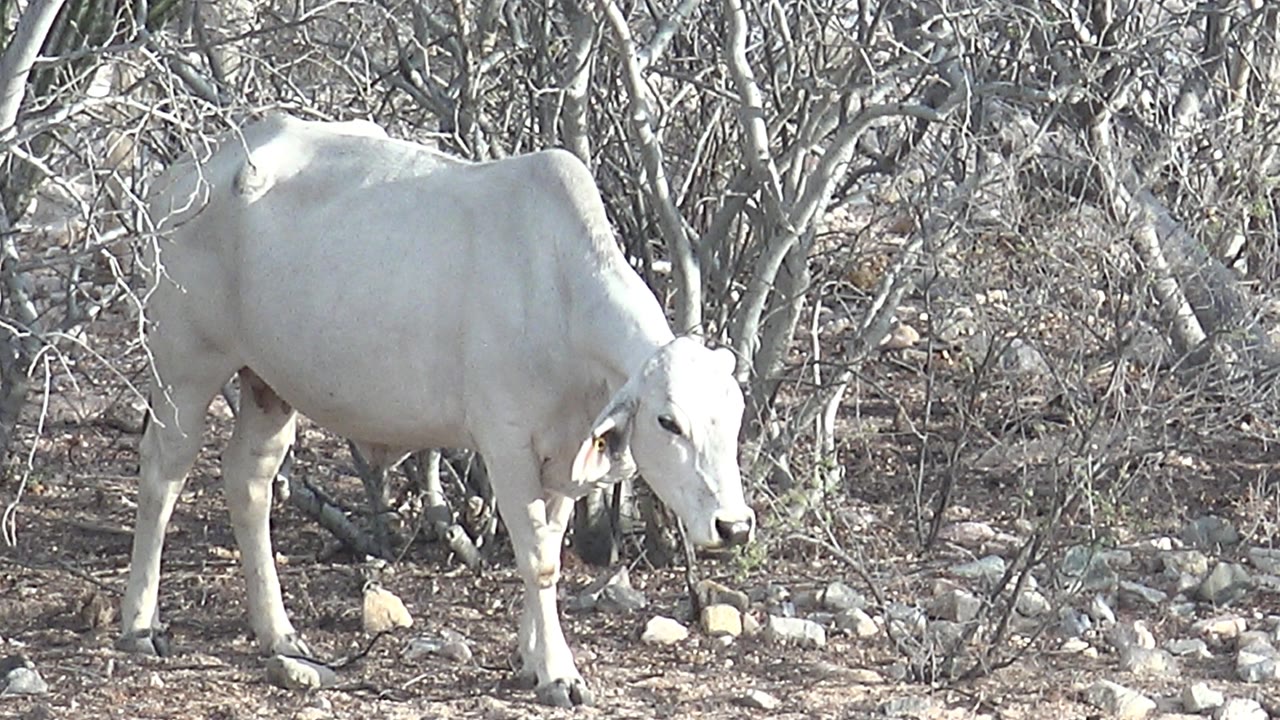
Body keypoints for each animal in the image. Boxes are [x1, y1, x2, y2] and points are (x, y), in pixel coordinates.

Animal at [117, 115, 756, 707]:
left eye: (734, 421)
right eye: (668, 421)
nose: (734, 526)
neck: (558, 291)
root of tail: (183, 175)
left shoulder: (562, 456)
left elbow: (548, 547)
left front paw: (532, 658)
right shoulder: (506, 443)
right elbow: (538, 559)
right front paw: (558, 672)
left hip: (267, 384)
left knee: (248, 480)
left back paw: (278, 632)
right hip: (184, 367)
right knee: (163, 473)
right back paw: (140, 625)